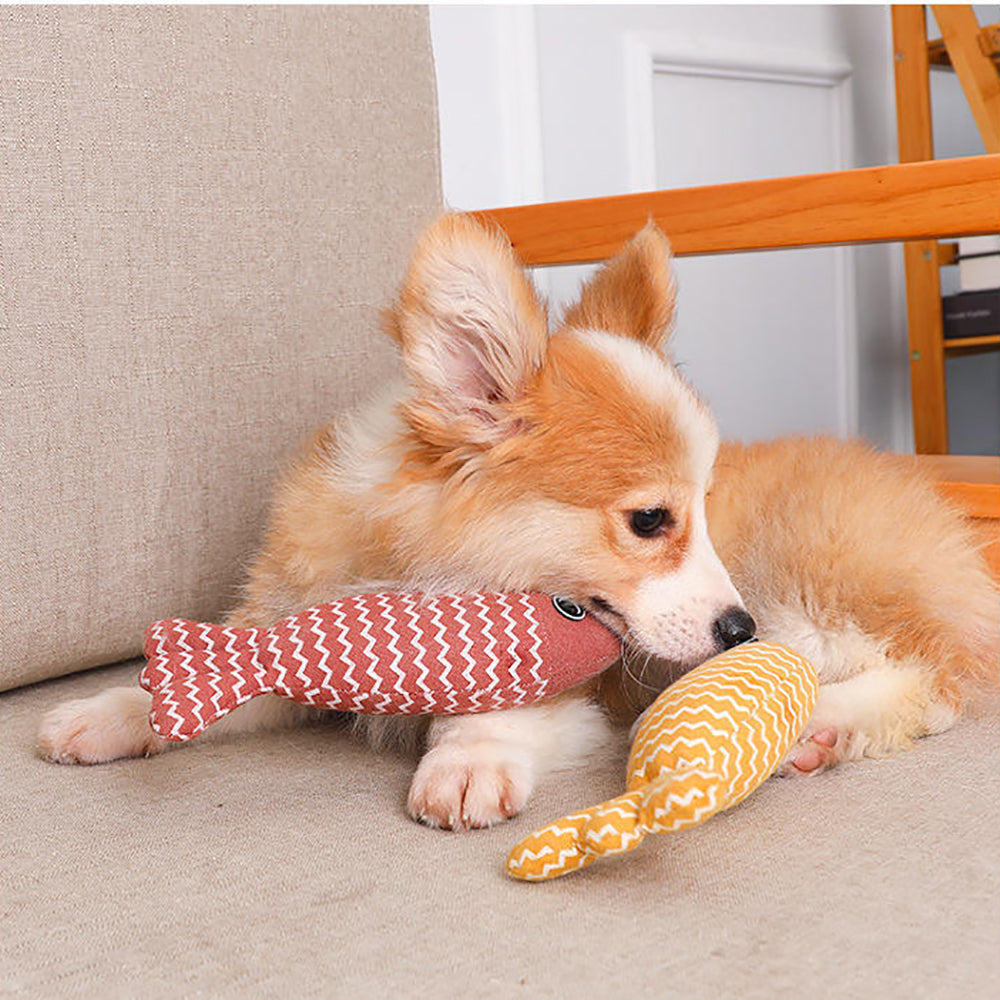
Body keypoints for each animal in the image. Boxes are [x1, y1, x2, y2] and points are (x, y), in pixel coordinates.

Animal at [39, 213, 1000, 828]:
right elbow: (216, 676)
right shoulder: (285, 630)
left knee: (935, 675)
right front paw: (114, 711)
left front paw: (466, 762)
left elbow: (496, 711)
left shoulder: (585, 685)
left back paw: (824, 721)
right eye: (651, 520)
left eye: (704, 504)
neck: (410, 568)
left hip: (810, 582)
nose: (737, 629)